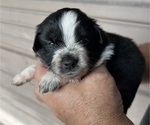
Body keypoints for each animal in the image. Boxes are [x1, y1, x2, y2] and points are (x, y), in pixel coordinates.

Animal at [11, 7, 145, 113]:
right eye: (51, 43)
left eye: (84, 41)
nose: (69, 62)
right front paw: (21, 76)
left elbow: (69, 76)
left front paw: (50, 78)